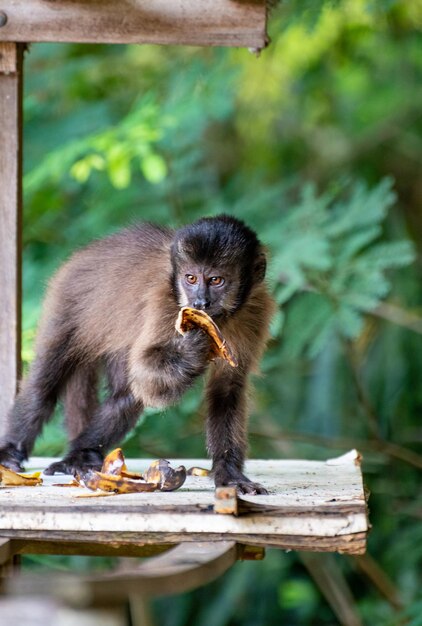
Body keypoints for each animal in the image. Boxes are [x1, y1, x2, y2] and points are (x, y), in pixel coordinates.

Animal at [0, 214, 274, 492]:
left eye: (216, 280)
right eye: (191, 278)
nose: (200, 303)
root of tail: (87, 252)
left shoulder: (256, 312)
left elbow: (227, 389)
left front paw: (229, 474)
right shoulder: (165, 302)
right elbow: (146, 377)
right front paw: (192, 349)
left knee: (126, 396)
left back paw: (82, 454)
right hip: (68, 297)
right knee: (44, 384)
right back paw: (12, 451)